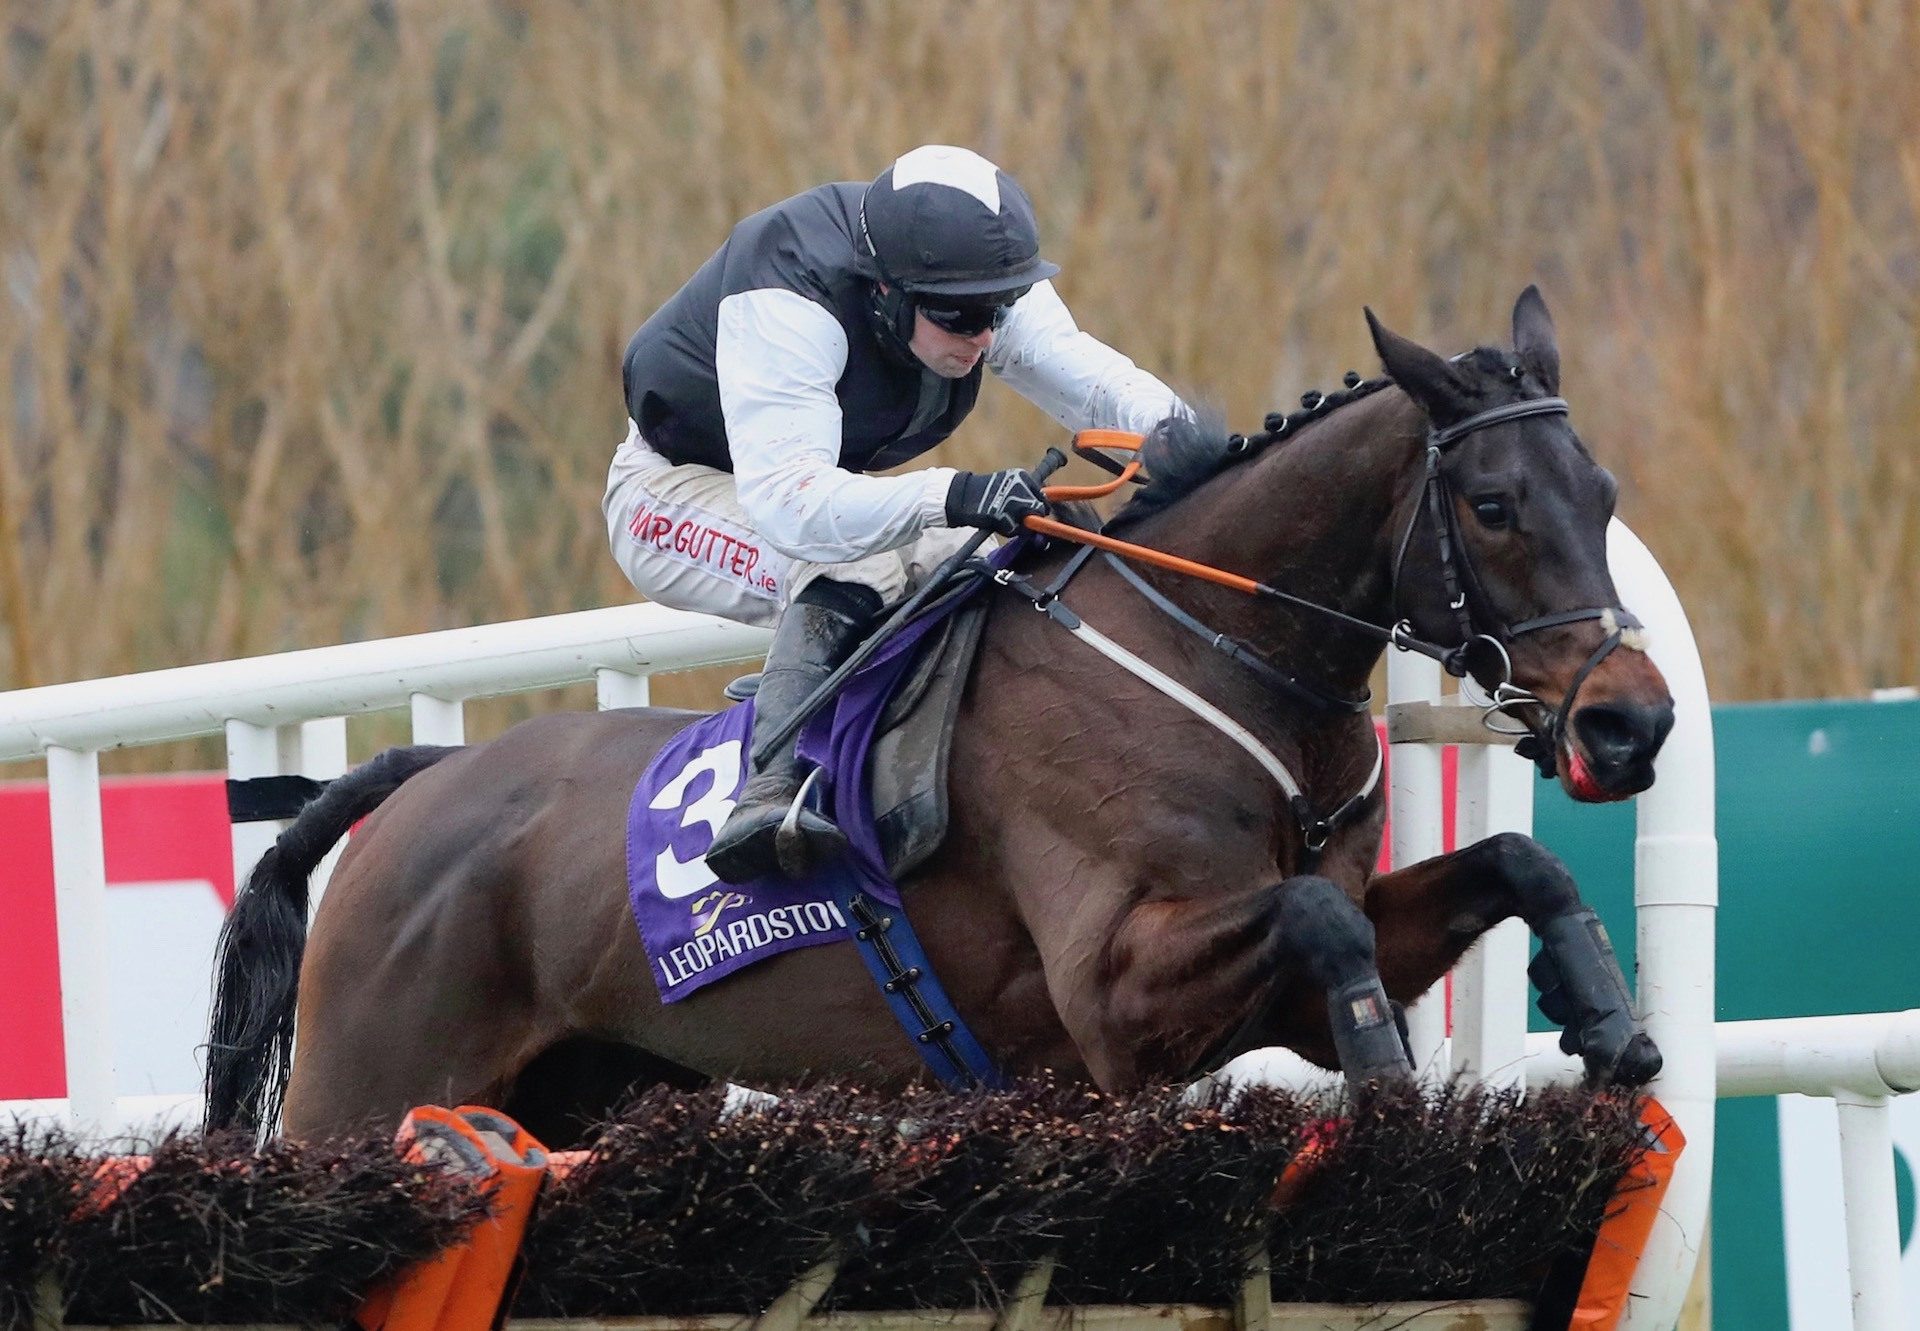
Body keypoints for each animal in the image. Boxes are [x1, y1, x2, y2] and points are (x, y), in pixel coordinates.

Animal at [210, 288, 1674, 1144]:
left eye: (1603, 491)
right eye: (1493, 503)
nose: (1631, 725)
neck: (1213, 655)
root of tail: (417, 784)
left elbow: (1513, 861)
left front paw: (1602, 1016)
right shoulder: (1111, 997)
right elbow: (1319, 919)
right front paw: (1387, 1079)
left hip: (591, 1087)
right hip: (366, 1092)